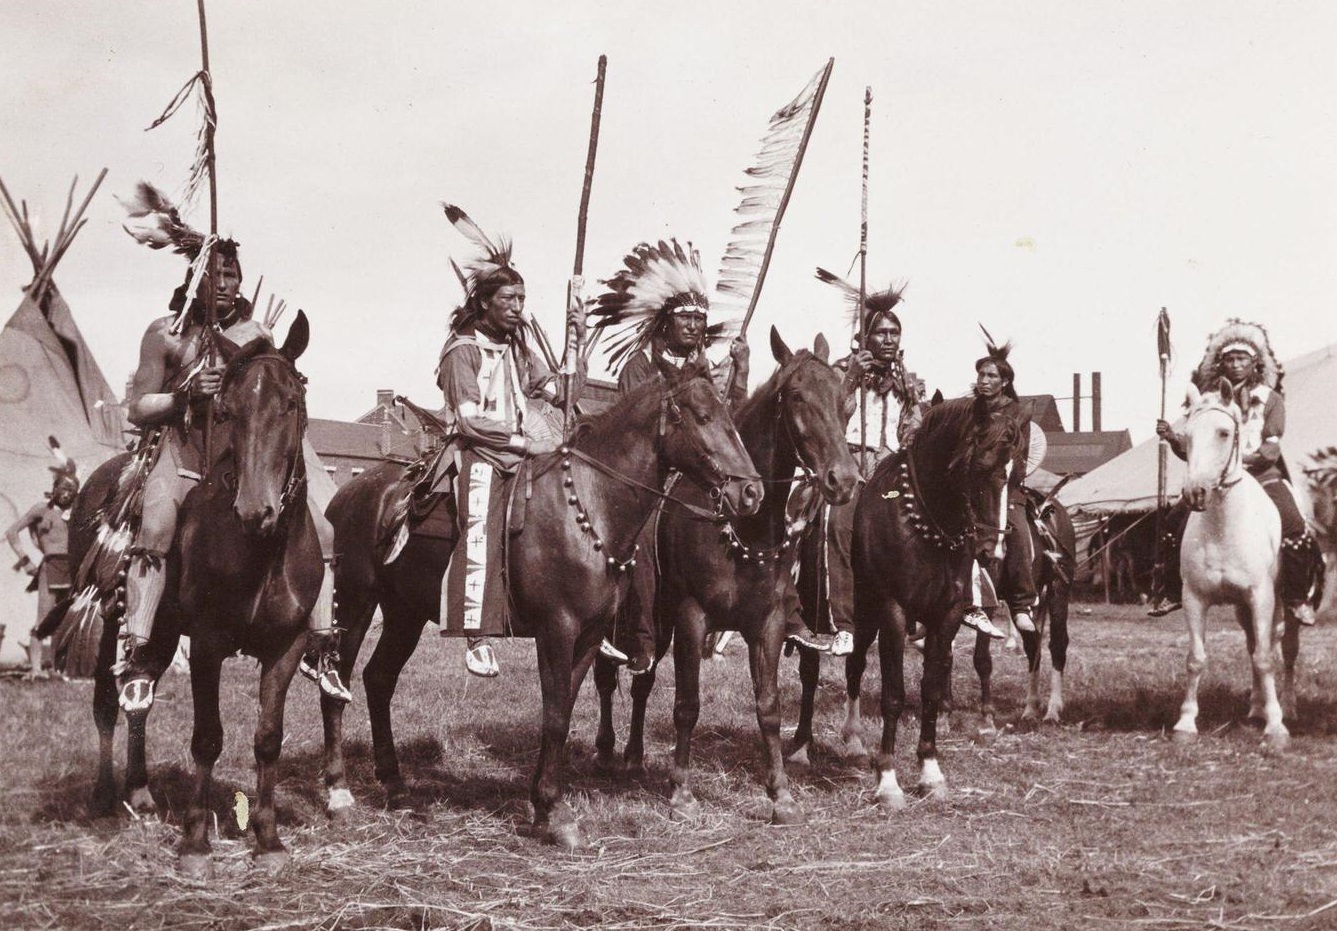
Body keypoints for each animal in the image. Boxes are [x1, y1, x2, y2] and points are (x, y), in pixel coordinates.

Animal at [319, 353, 764, 845]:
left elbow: (563, 709)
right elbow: (553, 716)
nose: (751, 491)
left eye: (729, 417)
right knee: (334, 686)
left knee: (378, 679)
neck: (589, 506)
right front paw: (554, 811)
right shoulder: (556, 630)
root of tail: (348, 495)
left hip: (404, 613)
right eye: (703, 417)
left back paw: (395, 782)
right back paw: (339, 792)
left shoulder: (588, 636)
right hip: (355, 604)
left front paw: (541, 802)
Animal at [593, 327, 861, 823]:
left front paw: (780, 794)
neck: (744, 528)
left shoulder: (767, 625)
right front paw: (681, 791)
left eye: (844, 401)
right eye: (797, 396)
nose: (844, 480)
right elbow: (687, 705)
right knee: (609, 674)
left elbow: (770, 707)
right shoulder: (691, 618)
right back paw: (605, 751)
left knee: (642, 683)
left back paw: (635, 756)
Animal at [839, 395, 1016, 802]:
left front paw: (930, 771)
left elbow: (932, 690)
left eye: (1014, 474)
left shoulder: (945, 615)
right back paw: (853, 741)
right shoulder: (893, 612)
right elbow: (893, 694)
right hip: (865, 613)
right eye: (980, 466)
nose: (993, 551)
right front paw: (888, 779)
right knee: (855, 665)